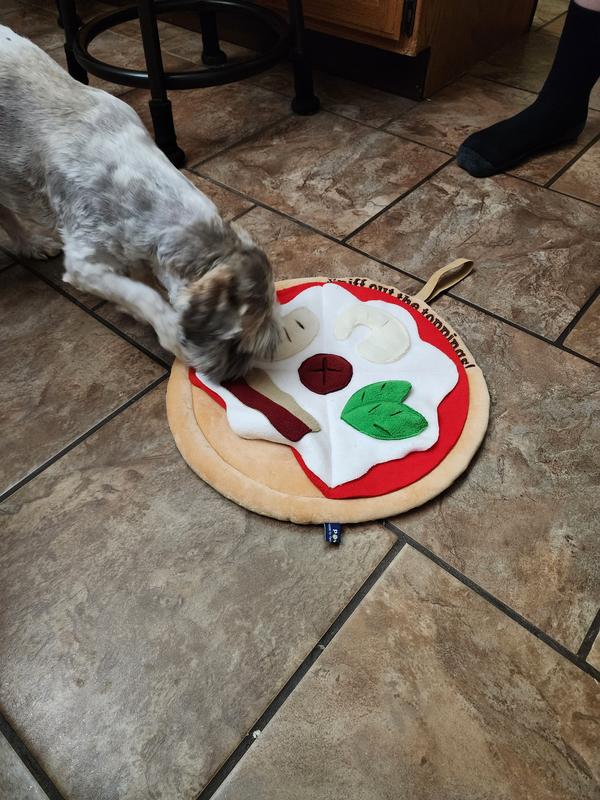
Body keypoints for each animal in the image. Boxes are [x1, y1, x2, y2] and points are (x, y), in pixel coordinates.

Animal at [0, 25, 281, 380]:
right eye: (237, 343)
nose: (234, 377)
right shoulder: (84, 260)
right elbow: (141, 294)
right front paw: (170, 330)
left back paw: (31, 244)